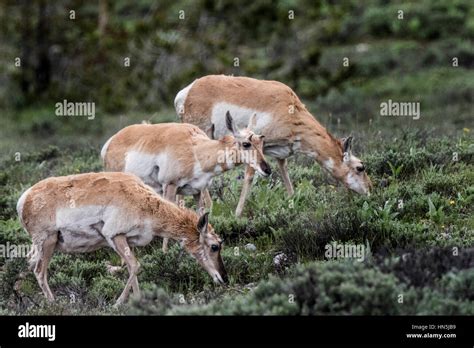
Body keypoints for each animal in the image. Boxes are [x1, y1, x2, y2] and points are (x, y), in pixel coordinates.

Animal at [16, 173, 228, 306]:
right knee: (39, 271)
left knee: (27, 264)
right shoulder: (115, 236)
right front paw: (118, 303)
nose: (224, 278)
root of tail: (24, 198)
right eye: (215, 246)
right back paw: (53, 303)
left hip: (40, 246)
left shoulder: (128, 242)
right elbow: (135, 266)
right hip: (48, 242)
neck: (147, 204)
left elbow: (132, 269)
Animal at [100, 114, 270, 250]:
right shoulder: (170, 186)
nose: (267, 169)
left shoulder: (197, 192)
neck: (195, 149)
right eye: (246, 144)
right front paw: (164, 252)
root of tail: (111, 141)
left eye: (261, 144)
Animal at [176, 75, 372, 215]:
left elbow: (284, 172)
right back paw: (207, 207)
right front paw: (237, 214)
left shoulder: (280, 153)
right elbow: (249, 176)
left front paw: (293, 200)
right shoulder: (255, 148)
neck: (292, 111)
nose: (370, 190)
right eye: (360, 167)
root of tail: (189, 90)